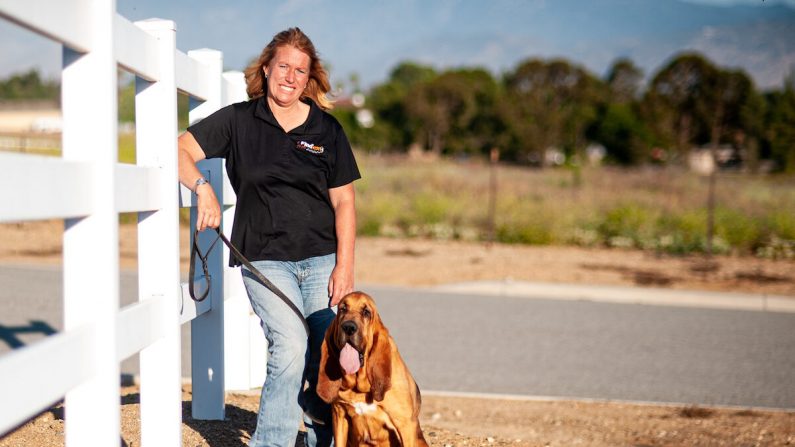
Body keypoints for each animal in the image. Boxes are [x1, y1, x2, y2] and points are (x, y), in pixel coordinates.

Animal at [318, 292, 430, 446]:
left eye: (366, 312)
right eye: (342, 309)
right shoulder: (339, 415)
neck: (358, 388)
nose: (348, 327)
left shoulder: (405, 424)